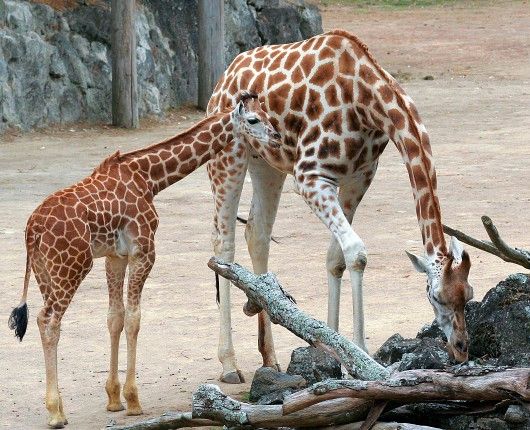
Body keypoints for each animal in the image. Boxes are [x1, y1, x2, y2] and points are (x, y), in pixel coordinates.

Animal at [7, 92, 280, 428]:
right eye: (253, 120)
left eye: (266, 113)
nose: (277, 137)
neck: (150, 177)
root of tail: (31, 229)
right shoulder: (145, 250)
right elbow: (135, 319)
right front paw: (134, 400)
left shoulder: (116, 256)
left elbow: (115, 317)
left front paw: (113, 399)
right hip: (72, 267)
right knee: (49, 320)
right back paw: (56, 413)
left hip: (46, 272)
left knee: (44, 321)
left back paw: (59, 408)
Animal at [206, 29, 470, 382]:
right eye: (435, 295)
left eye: (469, 294)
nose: (461, 348)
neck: (365, 97)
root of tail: (224, 77)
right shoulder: (311, 177)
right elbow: (356, 253)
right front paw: (360, 355)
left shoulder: (359, 176)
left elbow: (337, 258)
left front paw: (331, 352)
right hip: (227, 158)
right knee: (224, 242)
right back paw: (229, 365)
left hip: (266, 164)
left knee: (257, 233)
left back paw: (270, 357)